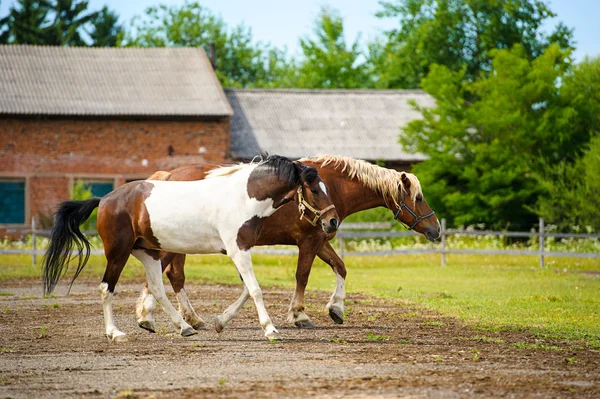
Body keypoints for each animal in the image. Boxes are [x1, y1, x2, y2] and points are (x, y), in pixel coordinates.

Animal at [42, 155, 340, 342]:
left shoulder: (238, 251)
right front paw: (270, 330)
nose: (332, 221)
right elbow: (255, 290)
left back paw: (184, 327)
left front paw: (220, 322)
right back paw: (115, 333)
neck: (243, 198)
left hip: (148, 253)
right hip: (119, 253)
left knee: (157, 289)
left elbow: (247, 289)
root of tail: (104, 199)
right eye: (314, 190)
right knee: (107, 288)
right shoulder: (238, 250)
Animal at [138, 155, 442, 332]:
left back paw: (188, 318)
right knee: (164, 275)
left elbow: (340, 267)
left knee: (172, 275)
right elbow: (302, 275)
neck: (333, 187)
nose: (436, 229)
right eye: (418, 197)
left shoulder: (321, 238)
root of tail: (167, 176)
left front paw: (336, 309)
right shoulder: (310, 240)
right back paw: (149, 317)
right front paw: (299, 315)